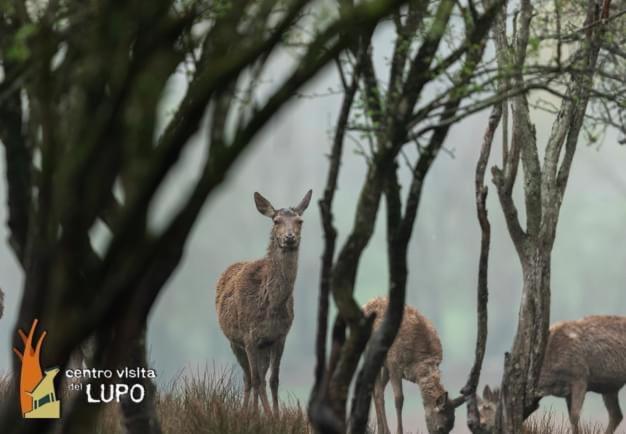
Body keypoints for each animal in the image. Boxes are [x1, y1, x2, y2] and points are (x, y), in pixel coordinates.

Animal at [216, 189, 310, 414]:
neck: (271, 305)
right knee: (249, 378)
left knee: (258, 376)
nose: (289, 237)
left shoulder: (279, 336)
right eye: (276, 221)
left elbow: (274, 380)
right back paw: (246, 412)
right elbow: (257, 380)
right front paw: (266, 416)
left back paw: (252, 411)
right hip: (234, 341)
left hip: (262, 347)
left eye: (300, 220)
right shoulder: (249, 336)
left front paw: (275, 415)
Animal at [360, 296, 464, 434]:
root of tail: (365, 304)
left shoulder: (391, 366)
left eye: (451, 427)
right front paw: (399, 431)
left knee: (376, 389)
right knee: (378, 392)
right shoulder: (394, 364)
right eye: (440, 427)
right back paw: (384, 430)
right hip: (371, 353)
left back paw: (379, 428)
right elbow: (399, 399)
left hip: (384, 365)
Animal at [478, 316, 624, 434]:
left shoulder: (580, 376)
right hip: (609, 387)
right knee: (617, 415)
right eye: (478, 409)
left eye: (488, 407)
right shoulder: (567, 392)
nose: (480, 424)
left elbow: (575, 416)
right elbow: (572, 417)